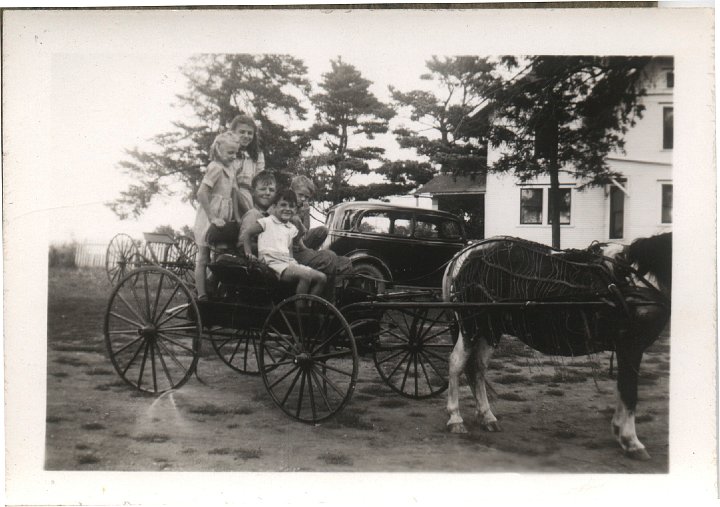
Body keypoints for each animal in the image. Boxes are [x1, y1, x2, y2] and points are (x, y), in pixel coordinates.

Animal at [442, 234, 672, 460]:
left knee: (477, 369)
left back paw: (487, 417)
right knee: (456, 364)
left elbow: (624, 390)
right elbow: (629, 393)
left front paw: (621, 432)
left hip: (489, 330)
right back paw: (455, 419)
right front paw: (630, 440)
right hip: (471, 326)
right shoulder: (631, 345)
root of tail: (464, 254)